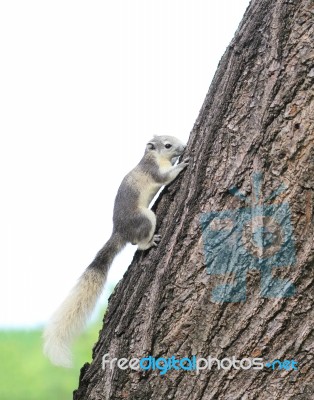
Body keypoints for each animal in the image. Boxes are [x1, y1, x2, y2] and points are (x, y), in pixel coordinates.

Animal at [43, 136, 188, 368]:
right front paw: (182, 165)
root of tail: (120, 232)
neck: (152, 157)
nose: (182, 147)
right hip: (145, 218)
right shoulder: (154, 171)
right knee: (139, 243)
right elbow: (166, 177)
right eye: (167, 145)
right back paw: (149, 243)